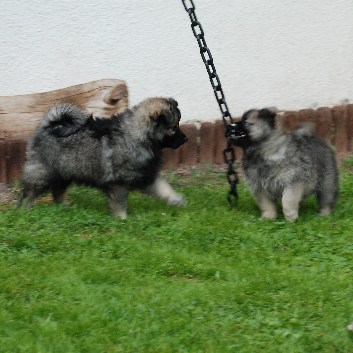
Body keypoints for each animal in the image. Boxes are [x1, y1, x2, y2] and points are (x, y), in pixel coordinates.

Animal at [17, 96, 187, 217]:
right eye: (173, 128)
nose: (185, 139)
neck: (139, 134)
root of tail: (47, 126)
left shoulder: (147, 175)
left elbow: (163, 187)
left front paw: (177, 199)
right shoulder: (118, 183)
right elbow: (119, 204)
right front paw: (122, 219)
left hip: (65, 173)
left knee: (57, 192)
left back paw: (63, 208)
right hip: (43, 173)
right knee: (29, 192)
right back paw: (24, 211)